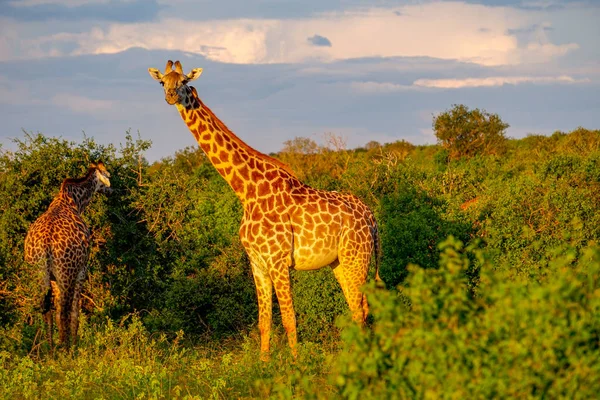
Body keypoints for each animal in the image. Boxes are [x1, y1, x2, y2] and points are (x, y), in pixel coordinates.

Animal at [24, 161, 111, 348]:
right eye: (108, 175)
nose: (111, 190)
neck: (75, 202)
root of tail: (45, 244)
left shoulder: (53, 277)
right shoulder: (81, 271)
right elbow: (75, 313)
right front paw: (74, 346)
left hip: (39, 273)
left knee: (46, 309)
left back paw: (50, 348)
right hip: (66, 273)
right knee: (64, 311)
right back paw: (65, 348)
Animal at [148, 60, 380, 360]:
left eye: (184, 81)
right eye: (163, 82)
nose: (171, 97)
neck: (247, 191)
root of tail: (372, 218)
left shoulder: (278, 260)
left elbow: (289, 317)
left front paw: (295, 364)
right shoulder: (257, 262)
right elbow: (264, 320)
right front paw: (264, 362)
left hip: (357, 258)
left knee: (359, 309)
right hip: (340, 262)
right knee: (357, 307)